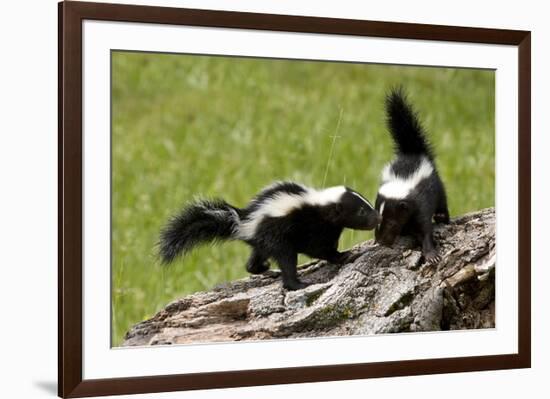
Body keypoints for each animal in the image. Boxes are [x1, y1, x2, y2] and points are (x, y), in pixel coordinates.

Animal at [162, 184, 382, 290]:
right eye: (361, 211)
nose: (378, 217)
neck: (319, 205)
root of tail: (243, 222)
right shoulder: (310, 226)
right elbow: (318, 248)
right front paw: (343, 256)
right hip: (275, 237)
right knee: (286, 259)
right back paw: (296, 284)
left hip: (263, 241)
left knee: (253, 262)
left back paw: (267, 270)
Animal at [376, 88, 452, 266]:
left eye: (391, 222)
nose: (380, 241)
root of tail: (412, 151)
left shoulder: (420, 203)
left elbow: (425, 229)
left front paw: (432, 255)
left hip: (436, 184)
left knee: (443, 201)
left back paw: (441, 217)